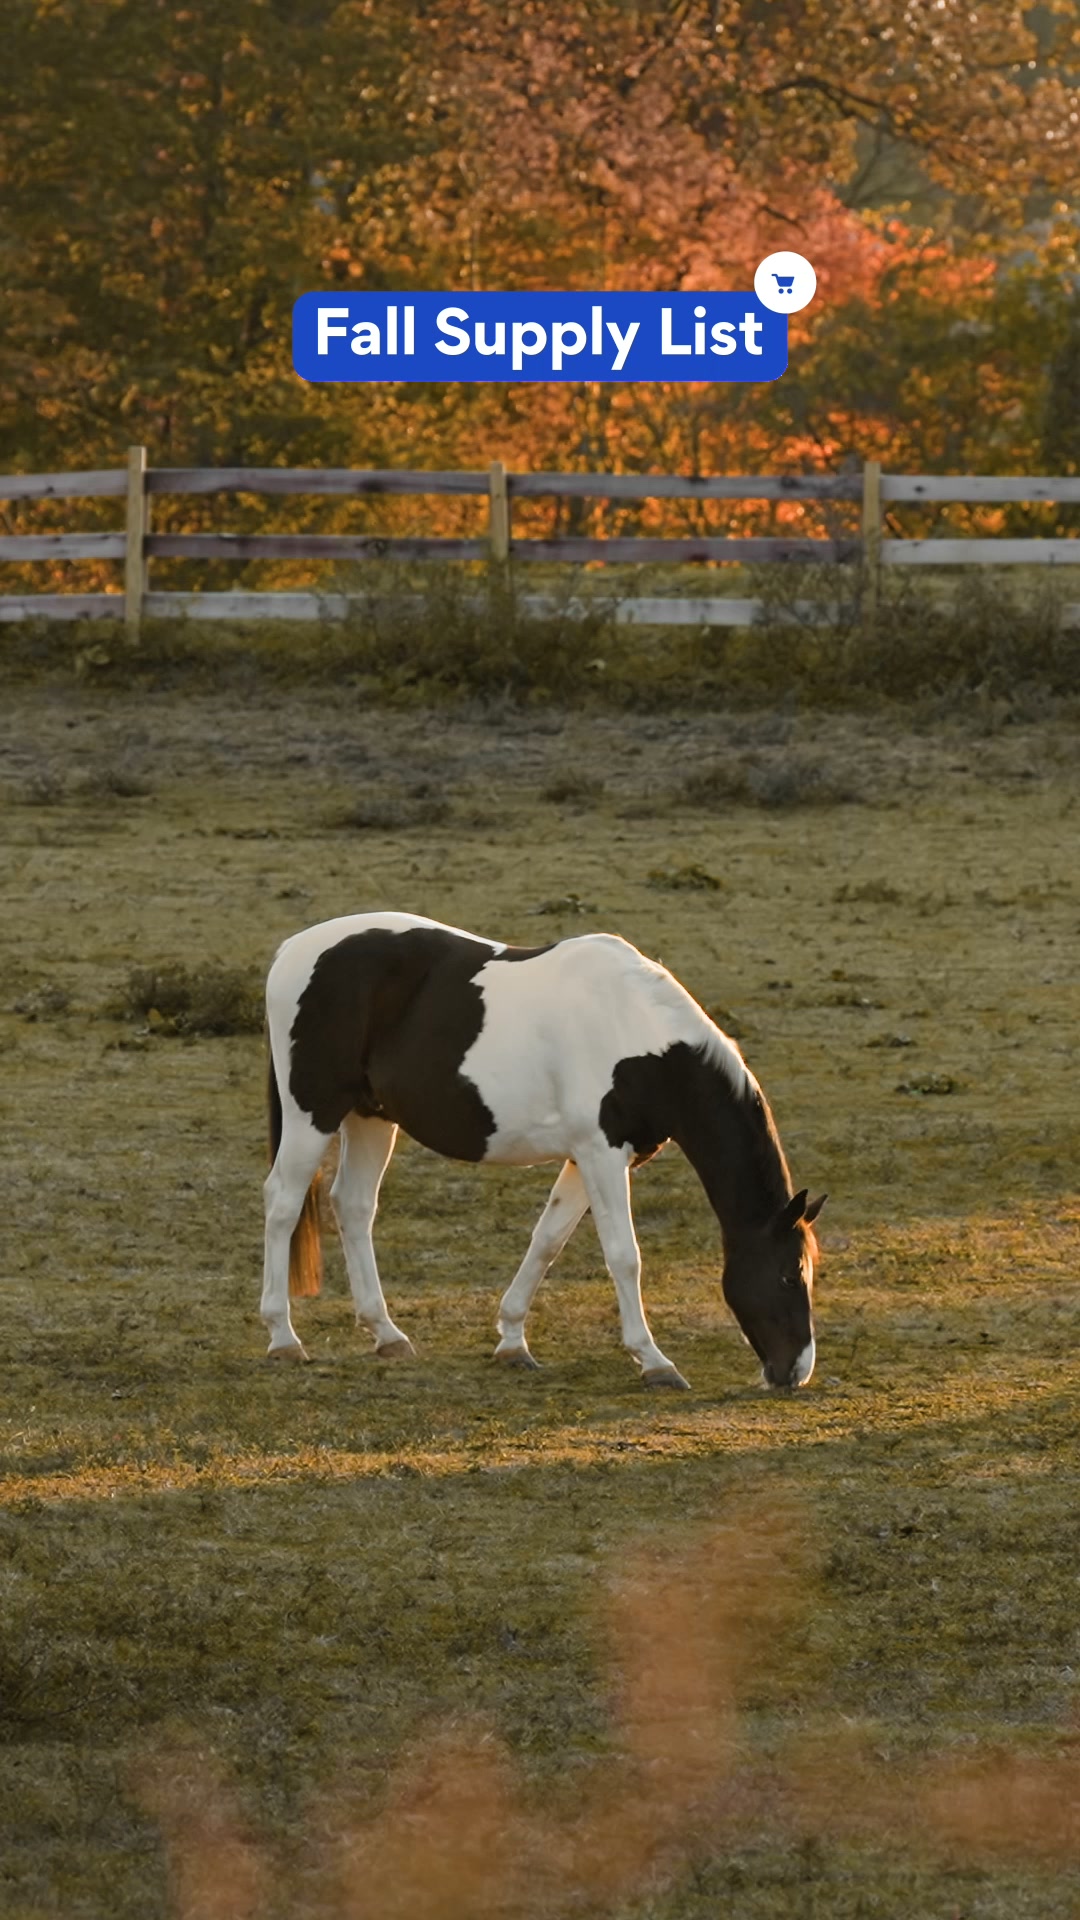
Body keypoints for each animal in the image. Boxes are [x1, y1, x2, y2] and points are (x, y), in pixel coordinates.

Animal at [261, 912, 825, 1390]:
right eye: (789, 1272)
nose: (795, 1371)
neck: (638, 1031)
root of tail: (289, 951)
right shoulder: (602, 1153)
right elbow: (624, 1256)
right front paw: (654, 1361)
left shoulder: (588, 1157)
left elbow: (548, 1241)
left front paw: (512, 1340)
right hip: (313, 1113)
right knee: (283, 1203)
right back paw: (283, 1337)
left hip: (372, 1117)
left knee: (353, 1206)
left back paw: (386, 1334)